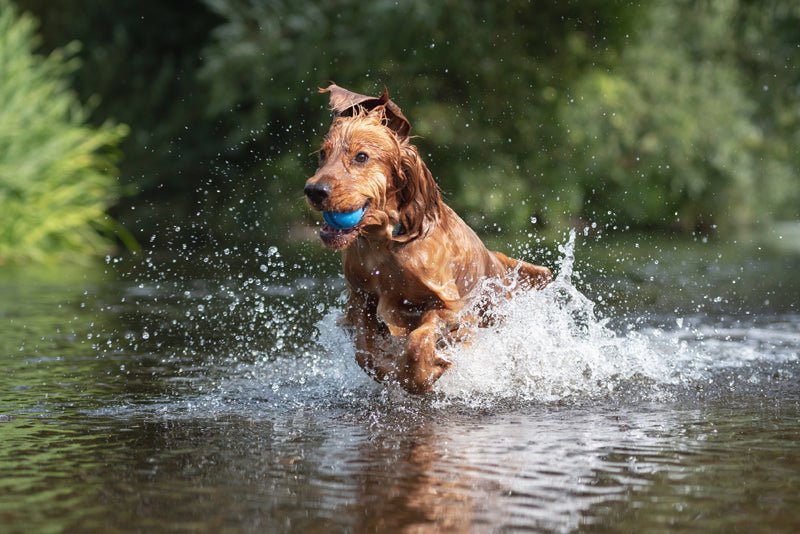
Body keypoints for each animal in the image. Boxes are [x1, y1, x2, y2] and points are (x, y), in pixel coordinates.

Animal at [304, 84, 552, 394]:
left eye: (361, 157)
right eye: (322, 155)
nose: (314, 190)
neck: (385, 244)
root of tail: (495, 259)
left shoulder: (449, 306)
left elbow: (419, 340)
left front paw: (421, 375)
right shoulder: (361, 297)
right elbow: (365, 351)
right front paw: (388, 369)